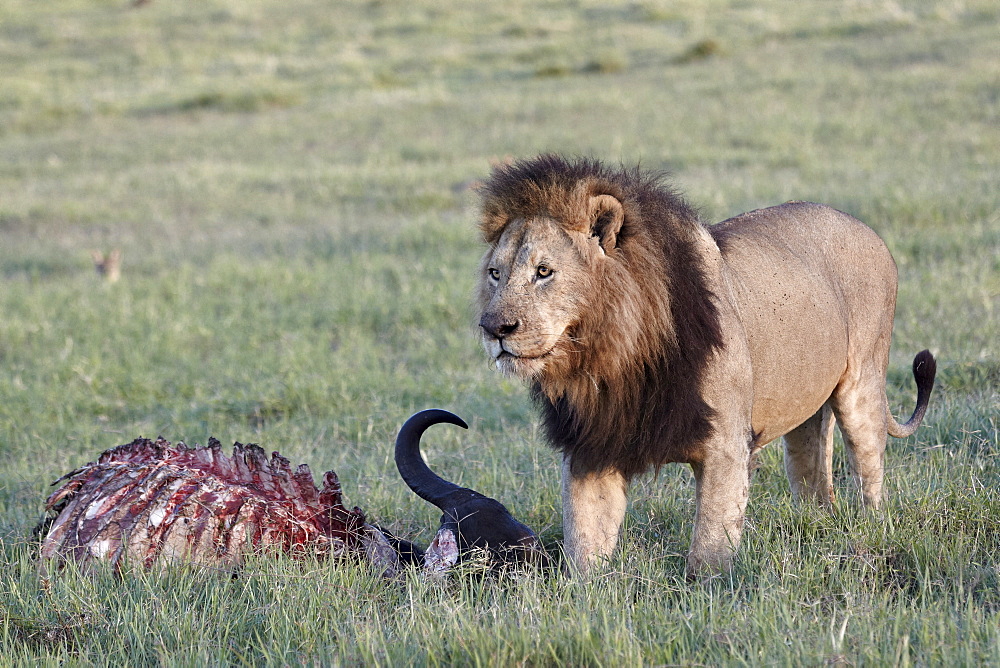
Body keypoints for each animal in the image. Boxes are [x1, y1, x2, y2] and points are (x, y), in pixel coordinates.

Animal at [472, 154, 932, 576]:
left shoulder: (725, 446)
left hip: (862, 386)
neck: (613, 360)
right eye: (495, 274)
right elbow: (584, 542)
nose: (493, 329)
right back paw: (817, 525)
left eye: (543, 271)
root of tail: (865, 227)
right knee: (812, 471)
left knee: (869, 472)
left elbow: (710, 545)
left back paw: (872, 532)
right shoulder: (593, 447)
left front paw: (706, 594)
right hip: (805, 406)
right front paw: (585, 597)